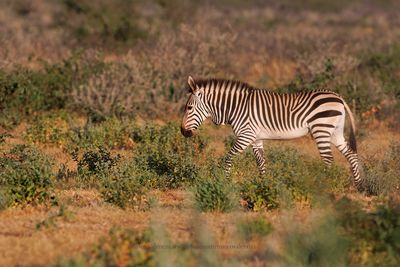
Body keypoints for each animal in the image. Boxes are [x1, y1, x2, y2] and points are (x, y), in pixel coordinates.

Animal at [183, 76, 364, 193]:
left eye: (189, 108)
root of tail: (338, 96)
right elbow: (261, 162)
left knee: (329, 160)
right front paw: (264, 185)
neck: (236, 107)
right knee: (351, 155)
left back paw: (327, 187)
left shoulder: (246, 135)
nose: (183, 132)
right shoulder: (256, 138)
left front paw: (224, 181)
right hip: (335, 132)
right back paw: (360, 186)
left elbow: (228, 157)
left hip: (321, 129)